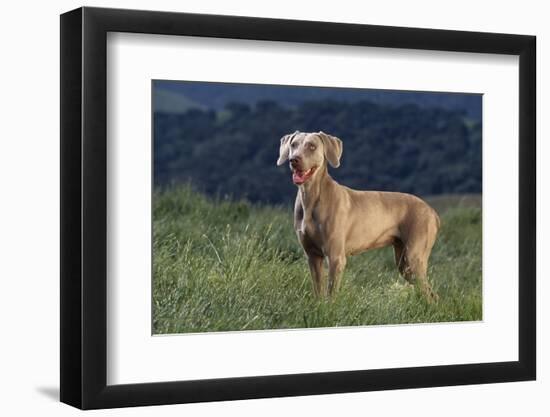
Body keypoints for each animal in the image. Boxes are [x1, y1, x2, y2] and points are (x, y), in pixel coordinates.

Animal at [278, 129, 442, 300]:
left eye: (312, 146)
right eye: (293, 145)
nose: (294, 160)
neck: (310, 198)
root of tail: (432, 211)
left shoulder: (336, 257)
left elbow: (331, 295)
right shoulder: (312, 257)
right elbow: (318, 292)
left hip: (413, 257)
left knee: (430, 295)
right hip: (404, 263)